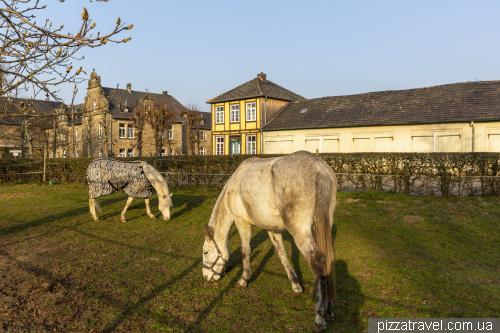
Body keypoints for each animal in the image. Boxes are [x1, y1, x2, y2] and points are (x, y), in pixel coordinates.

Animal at [202, 151, 336, 332]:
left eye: (205, 252)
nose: (206, 277)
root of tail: (318, 167)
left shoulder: (241, 221)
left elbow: (245, 250)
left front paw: (244, 279)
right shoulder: (273, 229)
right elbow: (282, 255)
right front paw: (295, 285)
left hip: (300, 231)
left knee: (319, 261)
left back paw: (320, 317)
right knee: (329, 259)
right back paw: (329, 309)